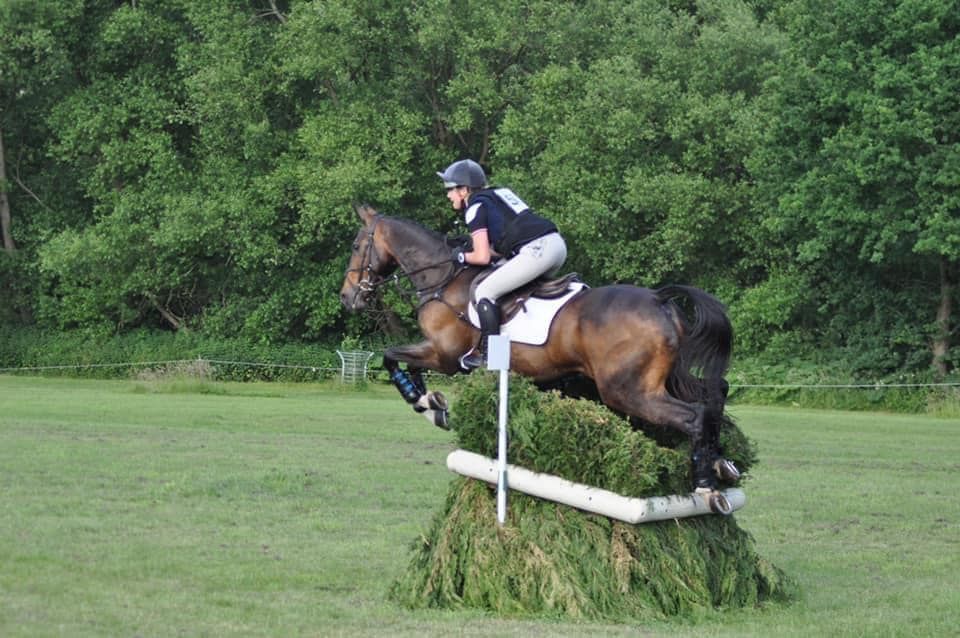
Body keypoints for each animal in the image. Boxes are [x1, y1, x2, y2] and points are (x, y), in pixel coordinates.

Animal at [342, 205, 740, 510]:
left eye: (358, 244)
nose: (348, 298)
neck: (443, 277)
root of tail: (658, 300)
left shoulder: (445, 356)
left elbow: (391, 357)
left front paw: (423, 401)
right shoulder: (438, 354)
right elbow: (404, 362)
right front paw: (433, 405)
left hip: (627, 390)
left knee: (693, 415)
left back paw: (705, 485)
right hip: (665, 378)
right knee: (715, 394)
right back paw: (722, 463)